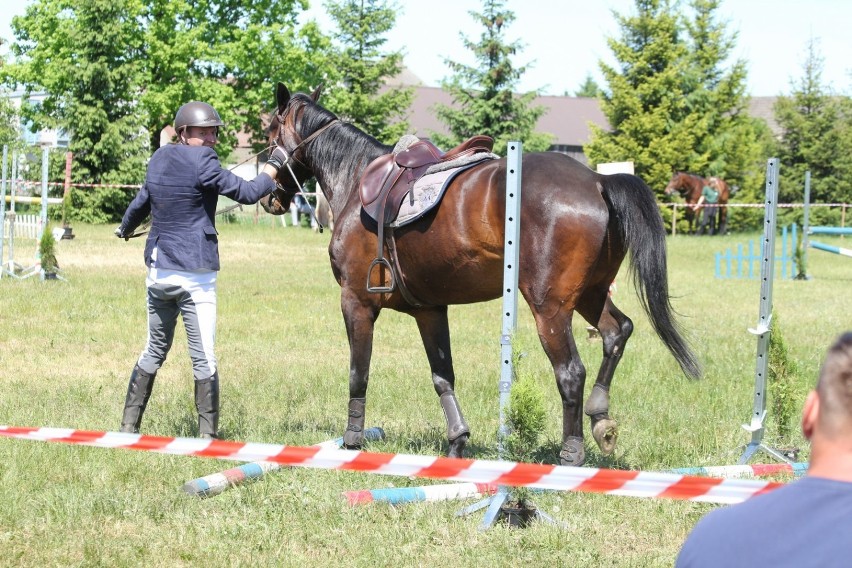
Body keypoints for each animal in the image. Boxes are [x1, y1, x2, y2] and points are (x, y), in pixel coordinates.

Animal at [262, 83, 700, 466]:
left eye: (268, 130)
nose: (269, 197)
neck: (356, 181)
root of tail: (598, 180)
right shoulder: (430, 310)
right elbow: (443, 376)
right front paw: (457, 442)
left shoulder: (356, 302)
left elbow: (358, 373)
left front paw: (352, 440)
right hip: (590, 293)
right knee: (616, 331)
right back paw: (600, 417)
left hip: (550, 307)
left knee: (571, 372)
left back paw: (571, 452)